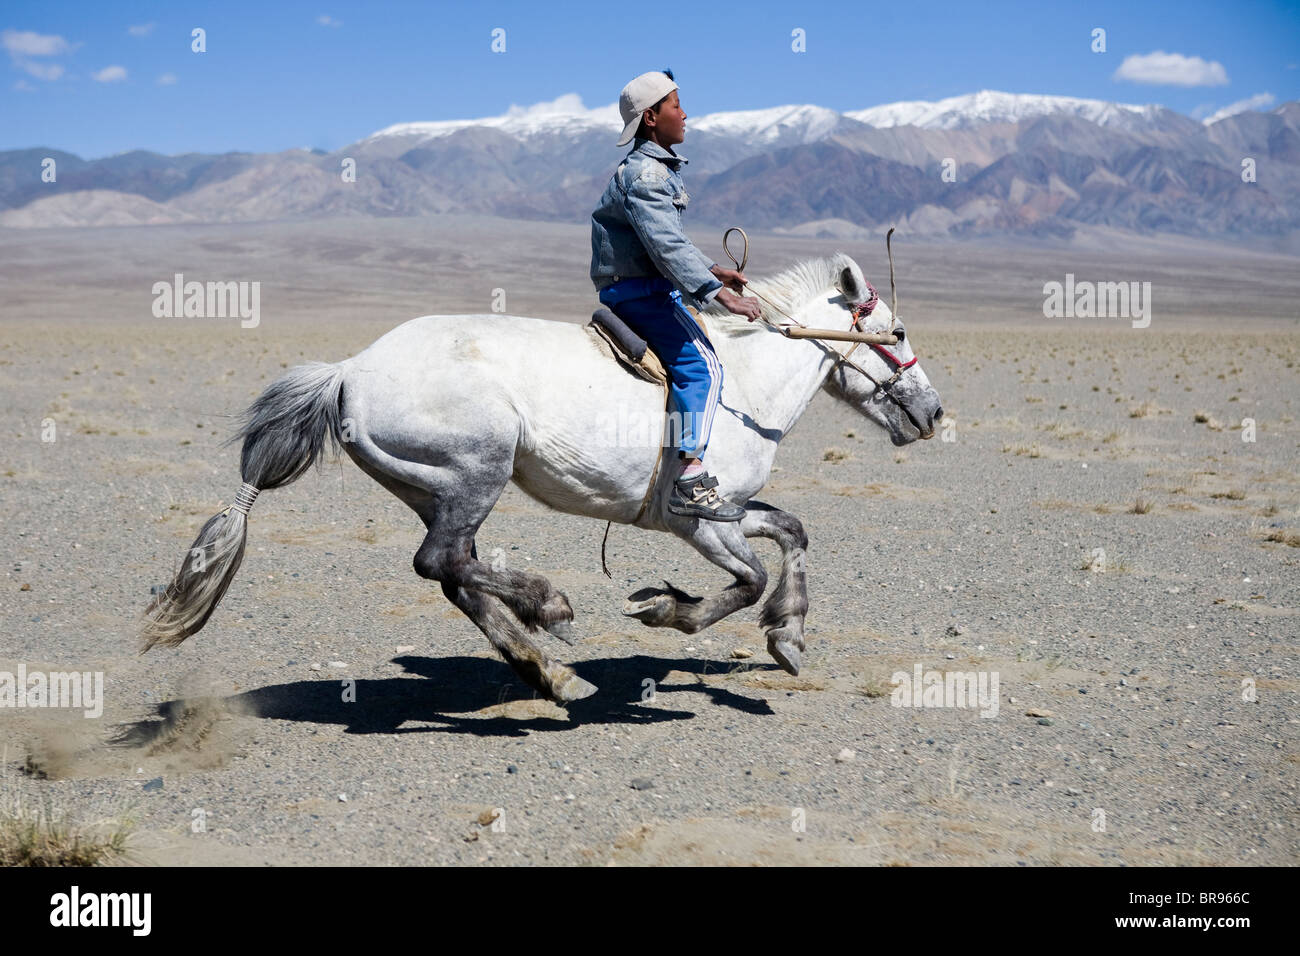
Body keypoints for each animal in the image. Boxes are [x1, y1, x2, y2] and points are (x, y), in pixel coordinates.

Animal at [142, 251, 946, 707]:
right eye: (899, 333)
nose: (935, 413)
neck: (746, 381)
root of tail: (349, 371)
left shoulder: (731, 510)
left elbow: (792, 531)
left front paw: (789, 638)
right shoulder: (697, 519)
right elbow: (745, 582)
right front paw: (665, 610)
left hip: (433, 489)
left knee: (455, 575)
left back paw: (553, 674)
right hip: (478, 470)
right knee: (441, 563)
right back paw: (550, 609)